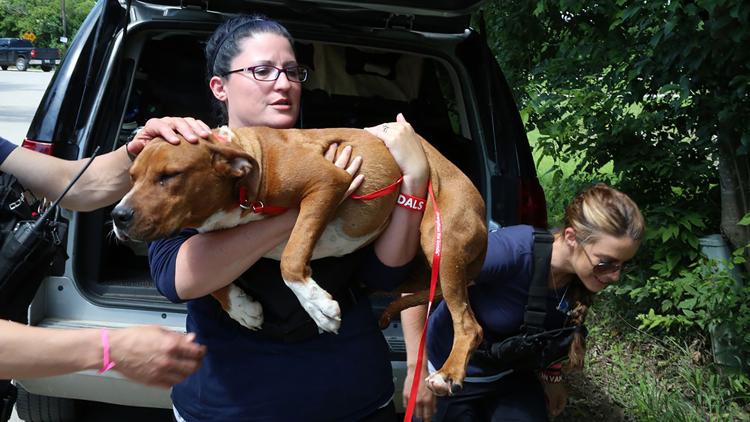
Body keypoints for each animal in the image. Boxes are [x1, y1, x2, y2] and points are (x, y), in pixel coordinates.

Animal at [111, 126, 488, 396]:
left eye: (169, 176)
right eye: (131, 177)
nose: (118, 216)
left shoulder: (328, 181)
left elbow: (290, 258)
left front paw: (317, 305)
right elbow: (206, 280)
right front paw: (241, 307)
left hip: (443, 242)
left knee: (469, 323)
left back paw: (448, 374)